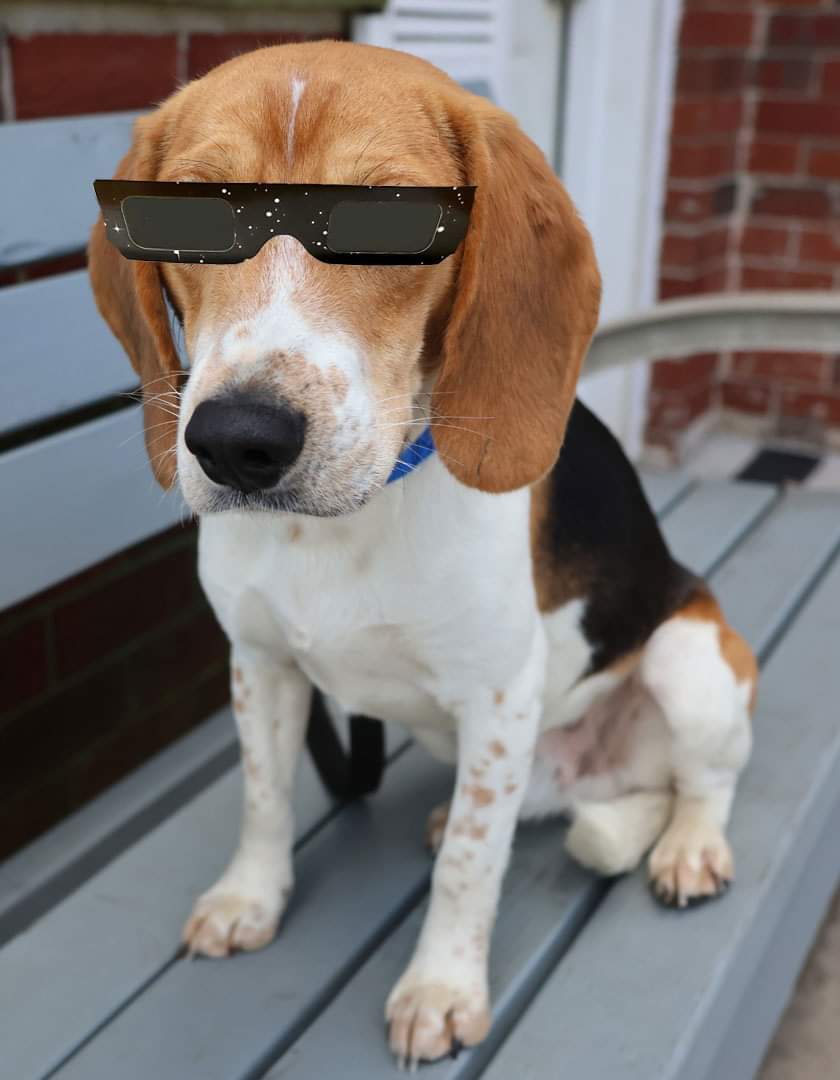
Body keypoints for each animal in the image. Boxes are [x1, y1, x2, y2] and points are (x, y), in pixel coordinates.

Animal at [88, 39, 755, 1062]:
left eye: (388, 222)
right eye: (187, 221)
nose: (236, 441)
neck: (337, 528)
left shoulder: (498, 694)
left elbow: (472, 868)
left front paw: (441, 987)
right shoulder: (261, 664)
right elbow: (265, 799)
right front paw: (249, 899)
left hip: (690, 658)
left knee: (703, 780)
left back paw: (689, 847)